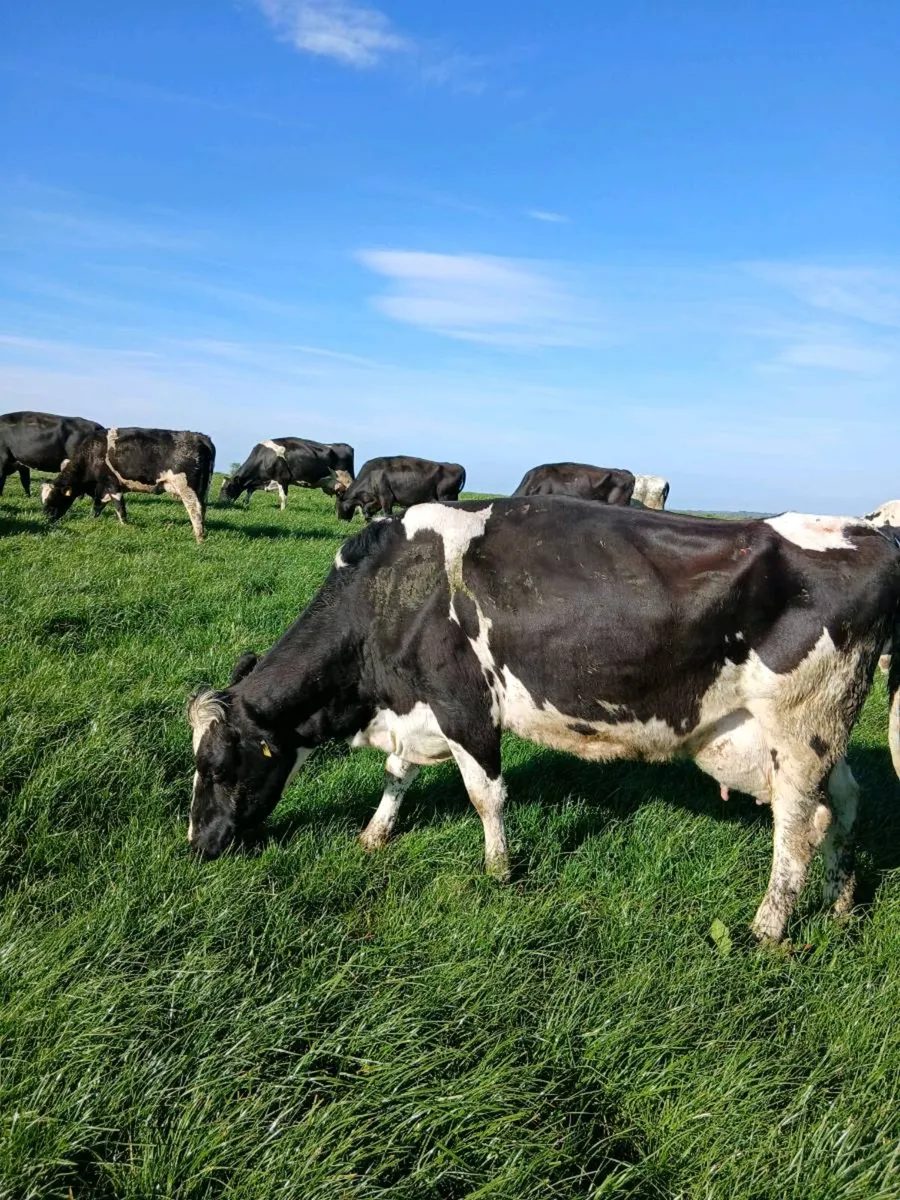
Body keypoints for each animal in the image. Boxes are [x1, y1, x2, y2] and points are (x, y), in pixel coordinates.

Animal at [42, 427, 215, 543]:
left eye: (53, 498)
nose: (45, 519)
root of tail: (200, 436)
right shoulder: (102, 489)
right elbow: (97, 506)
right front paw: (92, 520)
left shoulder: (111, 482)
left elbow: (120, 507)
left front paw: (125, 525)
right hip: (203, 489)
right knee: (203, 508)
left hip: (186, 487)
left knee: (194, 509)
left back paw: (199, 538)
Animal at [187, 499, 900, 944]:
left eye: (218, 765)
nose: (198, 845)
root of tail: (871, 533)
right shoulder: (417, 707)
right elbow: (398, 773)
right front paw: (374, 834)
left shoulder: (463, 703)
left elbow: (485, 794)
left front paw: (500, 871)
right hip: (825, 731)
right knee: (845, 805)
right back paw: (840, 902)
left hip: (798, 729)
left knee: (797, 827)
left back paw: (766, 929)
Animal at [219, 438, 355, 509]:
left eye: (227, 488)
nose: (220, 502)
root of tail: (347, 446)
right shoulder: (260, 481)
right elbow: (249, 492)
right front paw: (245, 505)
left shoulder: (282, 478)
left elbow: (282, 497)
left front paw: (282, 512)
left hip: (347, 480)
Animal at [334, 456, 466, 521]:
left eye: (337, 506)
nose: (340, 520)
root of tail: (457, 466)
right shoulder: (377, 499)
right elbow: (367, 509)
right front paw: (368, 520)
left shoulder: (386, 497)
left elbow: (387, 513)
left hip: (446, 496)